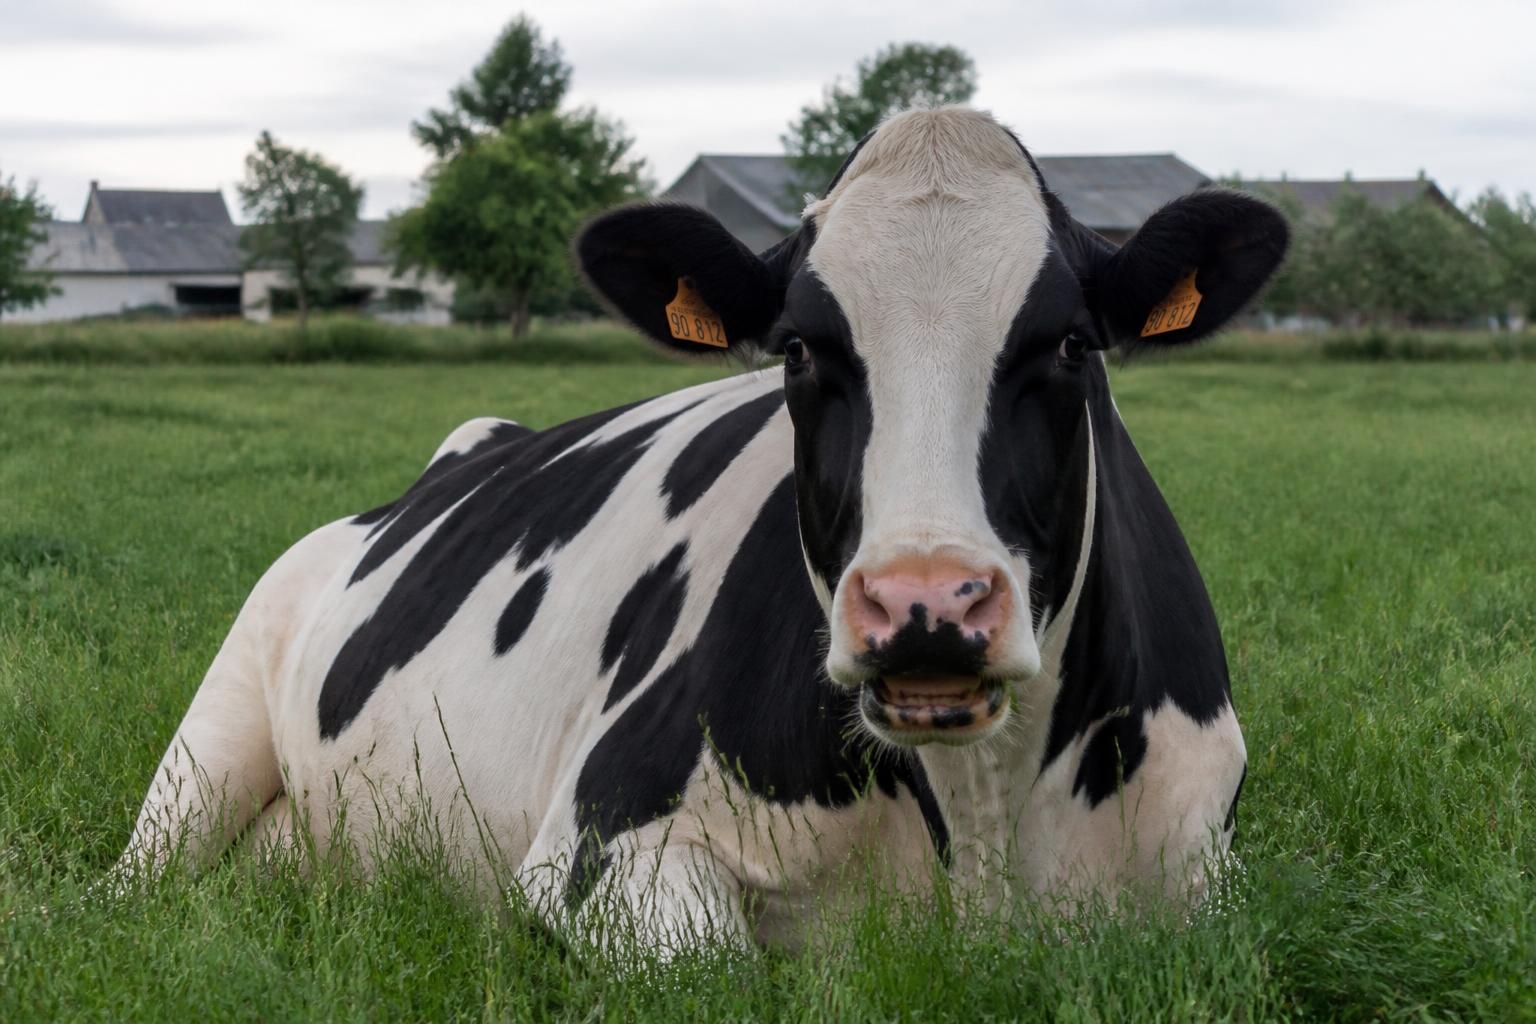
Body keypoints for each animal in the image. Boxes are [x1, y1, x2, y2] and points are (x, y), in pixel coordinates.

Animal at [109, 108, 1287, 955]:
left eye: (1073, 343)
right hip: (207, 744)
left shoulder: (1210, 880)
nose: (924, 604)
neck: (981, 818)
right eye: (801, 348)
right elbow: (717, 966)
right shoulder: (593, 844)